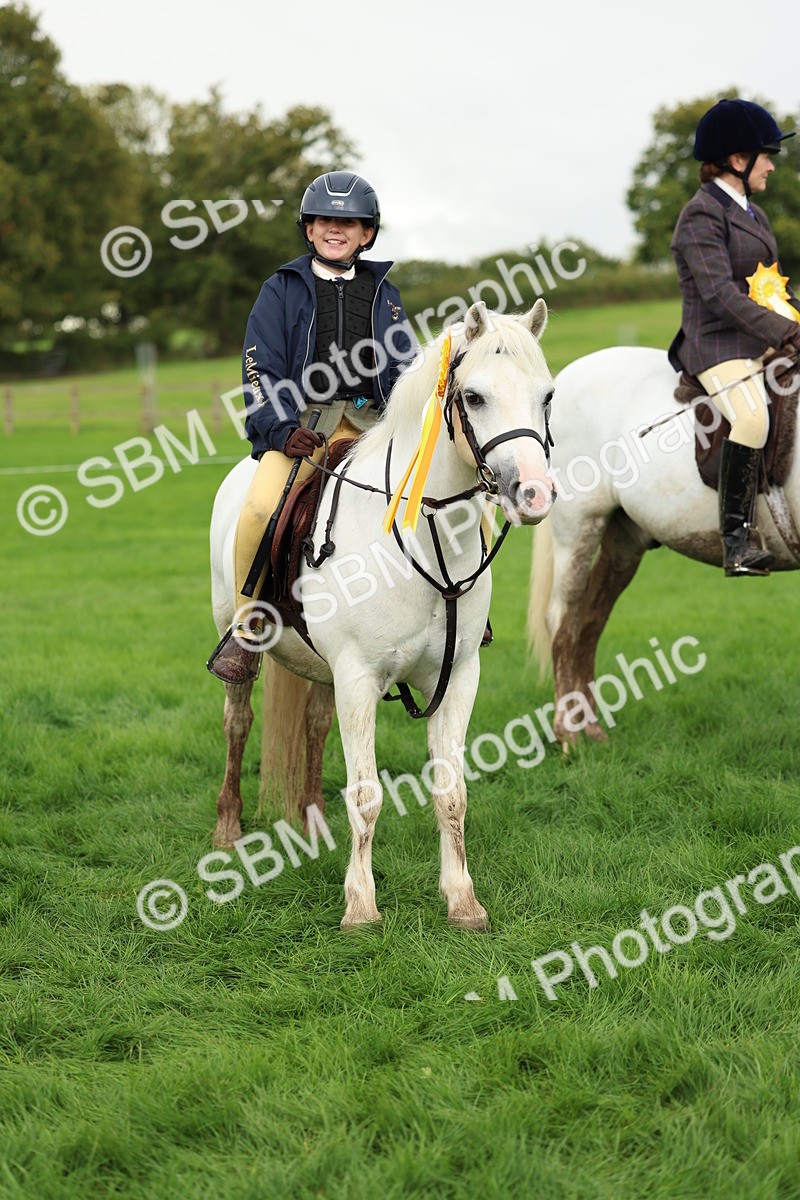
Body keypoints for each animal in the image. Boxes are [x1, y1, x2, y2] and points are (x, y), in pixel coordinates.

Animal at [209, 299, 557, 929]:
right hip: (240, 640)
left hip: (326, 673)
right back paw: (228, 827)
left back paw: (312, 823)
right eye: (474, 397)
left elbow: (451, 791)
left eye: (546, 395)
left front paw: (462, 900)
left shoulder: (456, 678)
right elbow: (366, 794)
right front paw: (361, 906)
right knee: (237, 722)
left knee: (314, 724)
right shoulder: (359, 678)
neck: (422, 543)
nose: (534, 493)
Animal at [527, 344, 800, 749]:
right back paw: (569, 736)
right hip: (577, 528)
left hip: (625, 541)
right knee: (563, 620)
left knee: (590, 621)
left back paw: (592, 729)